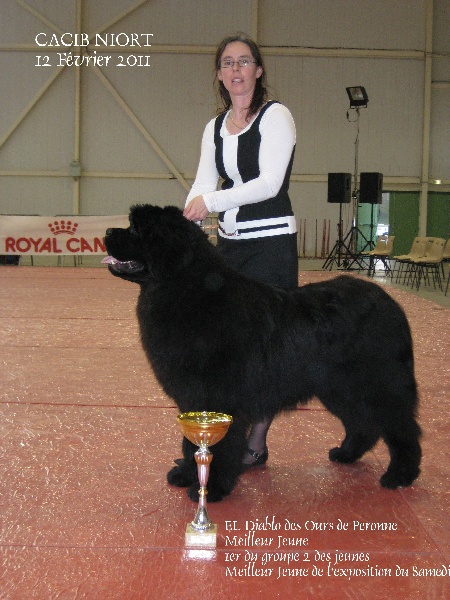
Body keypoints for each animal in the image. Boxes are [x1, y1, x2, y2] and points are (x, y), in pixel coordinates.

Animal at [103, 205, 420, 502]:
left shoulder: (220, 399)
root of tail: (391, 302)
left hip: (377, 385)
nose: (106, 231)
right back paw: (346, 454)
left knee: (402, 428)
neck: (187, 291)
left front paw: (211, 489)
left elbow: (221, 446)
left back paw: (400, 475)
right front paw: (186, 475)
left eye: (135, 229)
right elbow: (191, 443)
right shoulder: (193, 399)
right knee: (362, 423)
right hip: (339, 388)